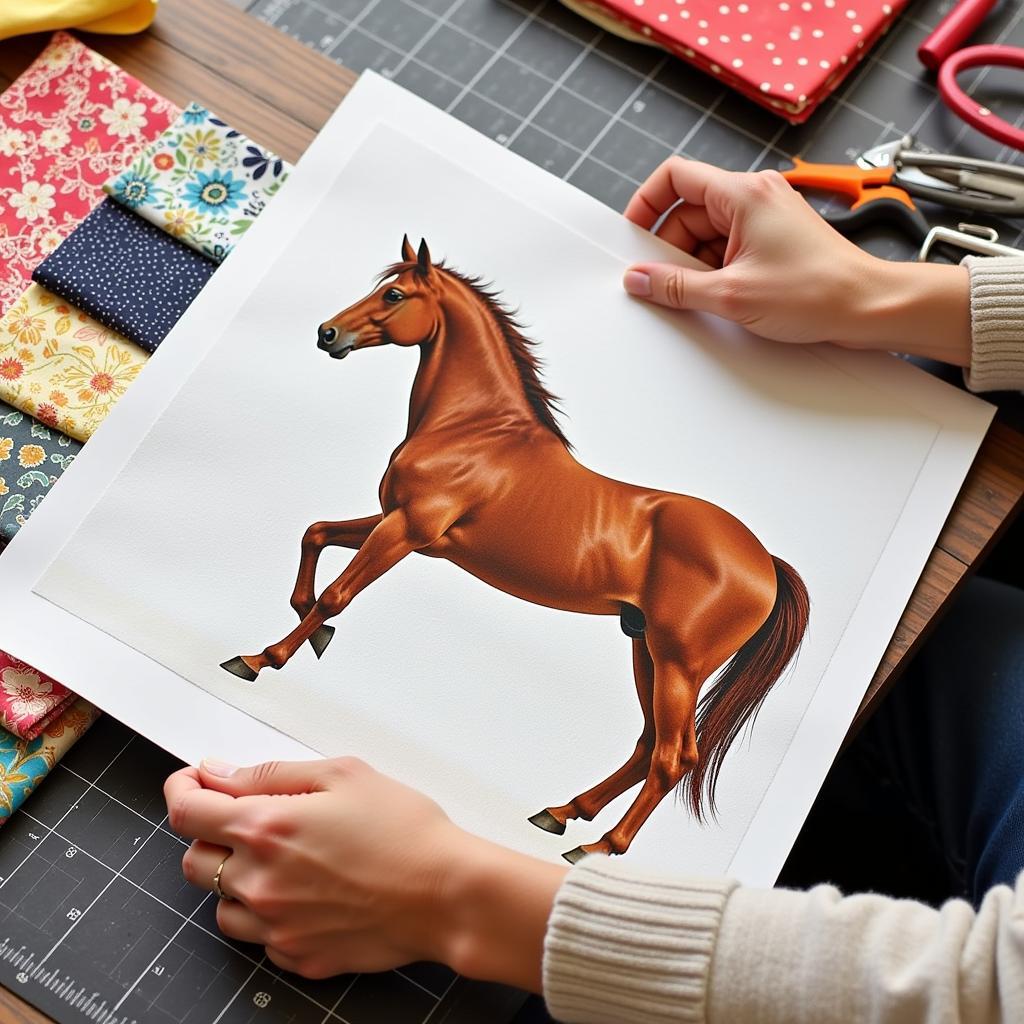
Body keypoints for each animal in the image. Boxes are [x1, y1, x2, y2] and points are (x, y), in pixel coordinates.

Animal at [224, 235, 806, 860]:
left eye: (394, 294)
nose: (327, 333)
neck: (473, 430)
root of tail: (764, 564)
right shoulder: (397, 524)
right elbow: (315, 534)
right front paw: (311, 632)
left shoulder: (406, 530)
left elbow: (338, 593)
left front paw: (260, 658)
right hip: (644, 647)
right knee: (649, 741)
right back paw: (562, 813)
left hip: (677, 663)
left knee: (675, 756)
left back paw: (598, 846)